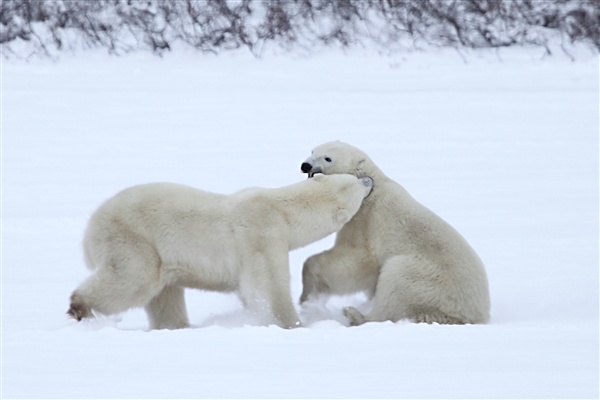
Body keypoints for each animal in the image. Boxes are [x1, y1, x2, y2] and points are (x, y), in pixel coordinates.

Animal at [68, 174, 372, 328]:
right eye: (356, 182)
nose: (369, 179)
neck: (281, 208)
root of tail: (89, 231)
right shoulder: (262, 235)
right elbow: (267, 287)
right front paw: (292, 324)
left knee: (164, 295)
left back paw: (178, 326)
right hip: (132, 237)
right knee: (134, 279)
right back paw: (79, 307)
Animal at [300, 141, 492, 324]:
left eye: (328, 158)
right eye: (312, 151)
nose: (305, 165)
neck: (371, 186)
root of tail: (477, 314)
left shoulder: (364, 220)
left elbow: (356, 262)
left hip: (429, 282)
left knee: (395, 284)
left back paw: (354, 314)